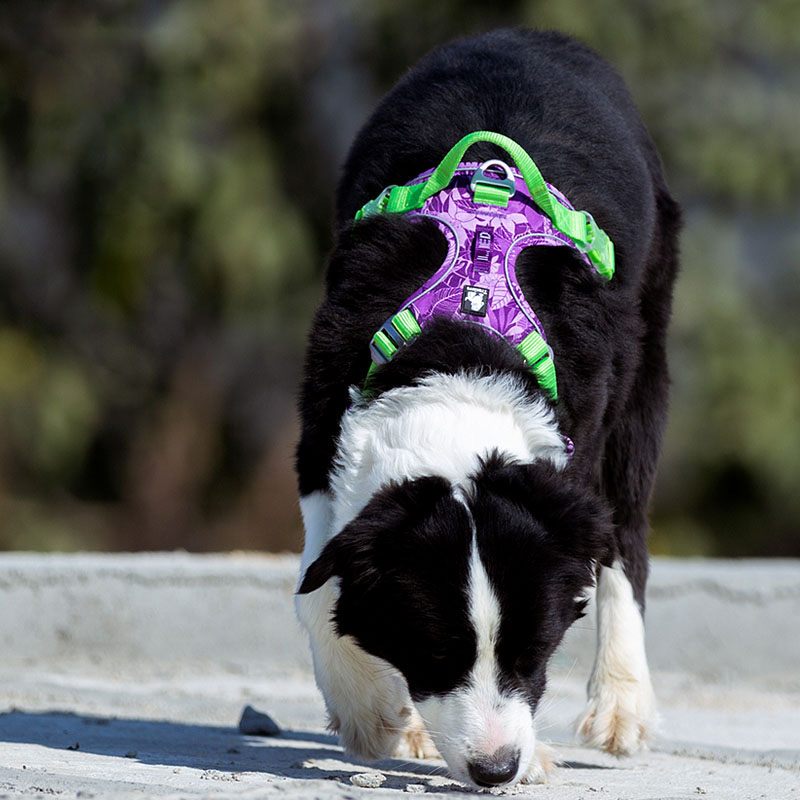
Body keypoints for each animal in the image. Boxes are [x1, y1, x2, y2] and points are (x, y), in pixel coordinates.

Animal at [294, 26, 680, 788]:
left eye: (535, 652)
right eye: (433, 653)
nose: (496, 769)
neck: (464, 348)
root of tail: (533, 33)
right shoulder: (323, 418)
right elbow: (319, 573)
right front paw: (370, 713)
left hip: (646, 343)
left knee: (625, 526)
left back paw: (621, 708)